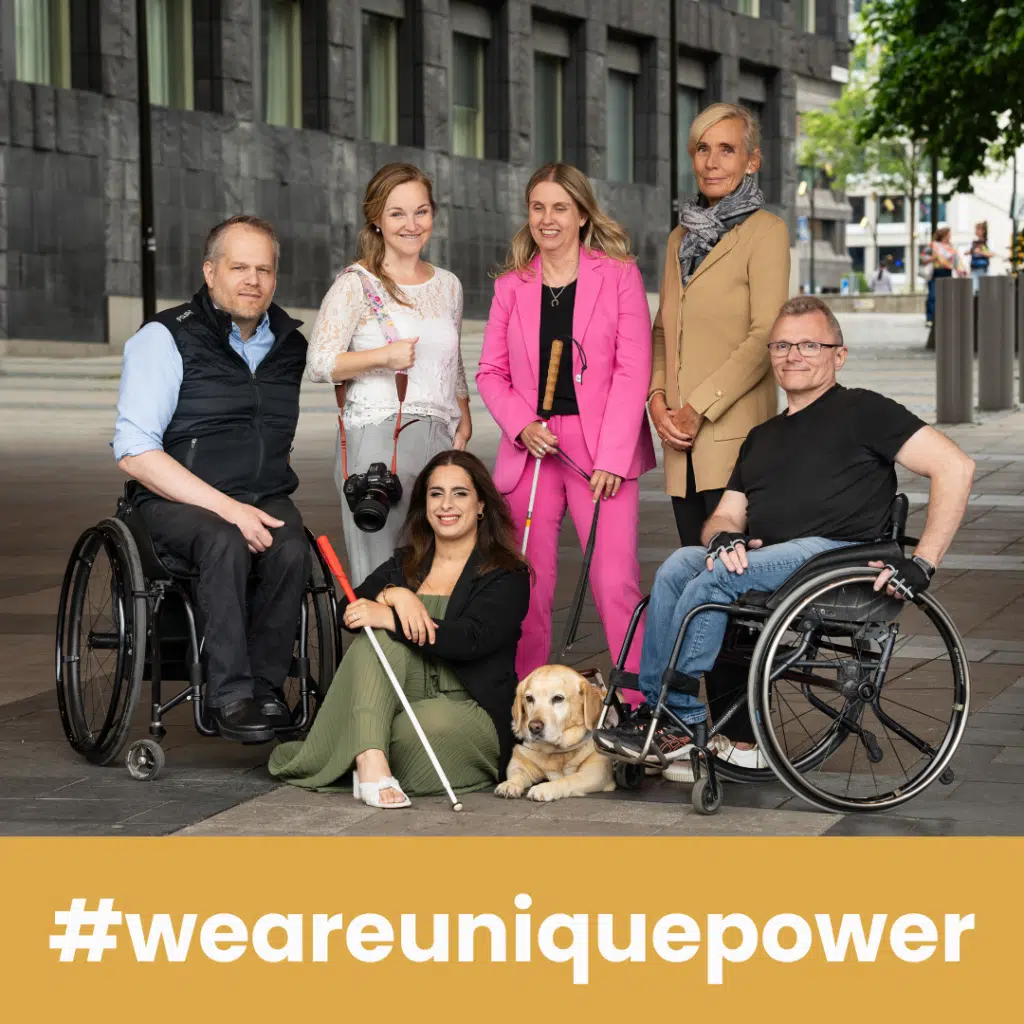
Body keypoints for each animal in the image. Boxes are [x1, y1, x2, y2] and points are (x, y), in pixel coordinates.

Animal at [495, 663, 614, 798]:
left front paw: (544, 788)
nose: (534, 727)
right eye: (529, 698)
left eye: (558, 698)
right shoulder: (518, 761)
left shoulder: (595, 773)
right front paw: (510, 784)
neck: (556, 751)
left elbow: (567, 780)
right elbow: (517, 773)